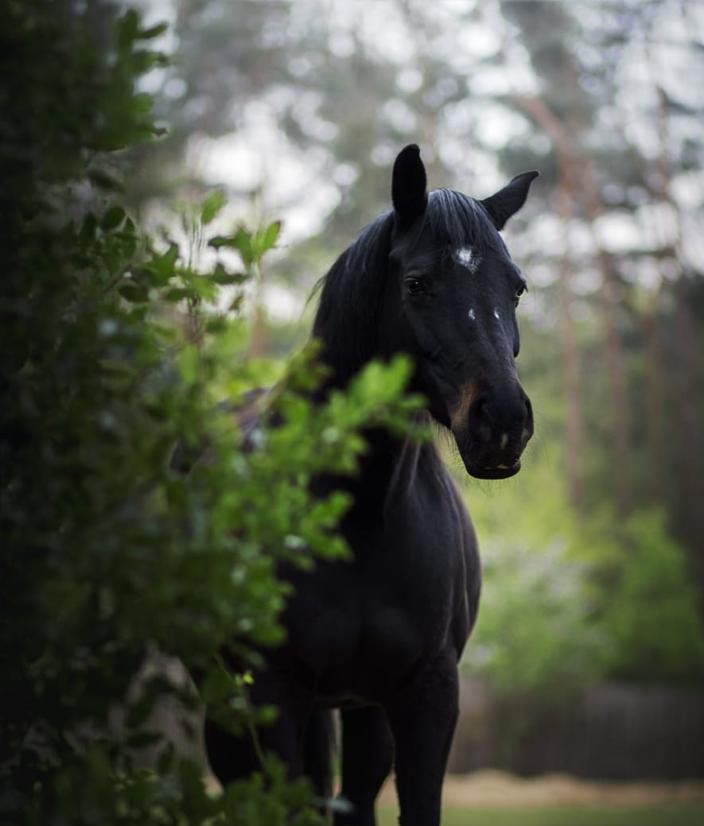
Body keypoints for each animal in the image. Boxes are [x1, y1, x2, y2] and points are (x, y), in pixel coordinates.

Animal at [205, 144, 537, 826]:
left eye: (515, 287)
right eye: (417, 284)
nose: (502, 421)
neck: (358, 519)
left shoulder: (424, 696)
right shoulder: (273, 698)